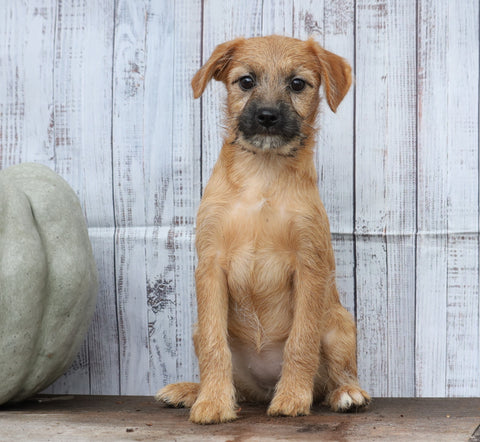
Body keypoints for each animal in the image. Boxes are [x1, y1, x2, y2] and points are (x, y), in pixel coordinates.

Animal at [158, 35, 372, 424]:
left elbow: (301, 342)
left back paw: (346, 393)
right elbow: (215, 346)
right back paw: (192, 391)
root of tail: (263, 387)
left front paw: (293, 398)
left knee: (337, 374)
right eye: (246, 81)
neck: (263, 176)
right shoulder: (210, 266)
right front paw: (213, 402)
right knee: (235, 381)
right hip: (202, 334)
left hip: (339, 325)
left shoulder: (308, 266)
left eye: (297, 84)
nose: (268, 116)